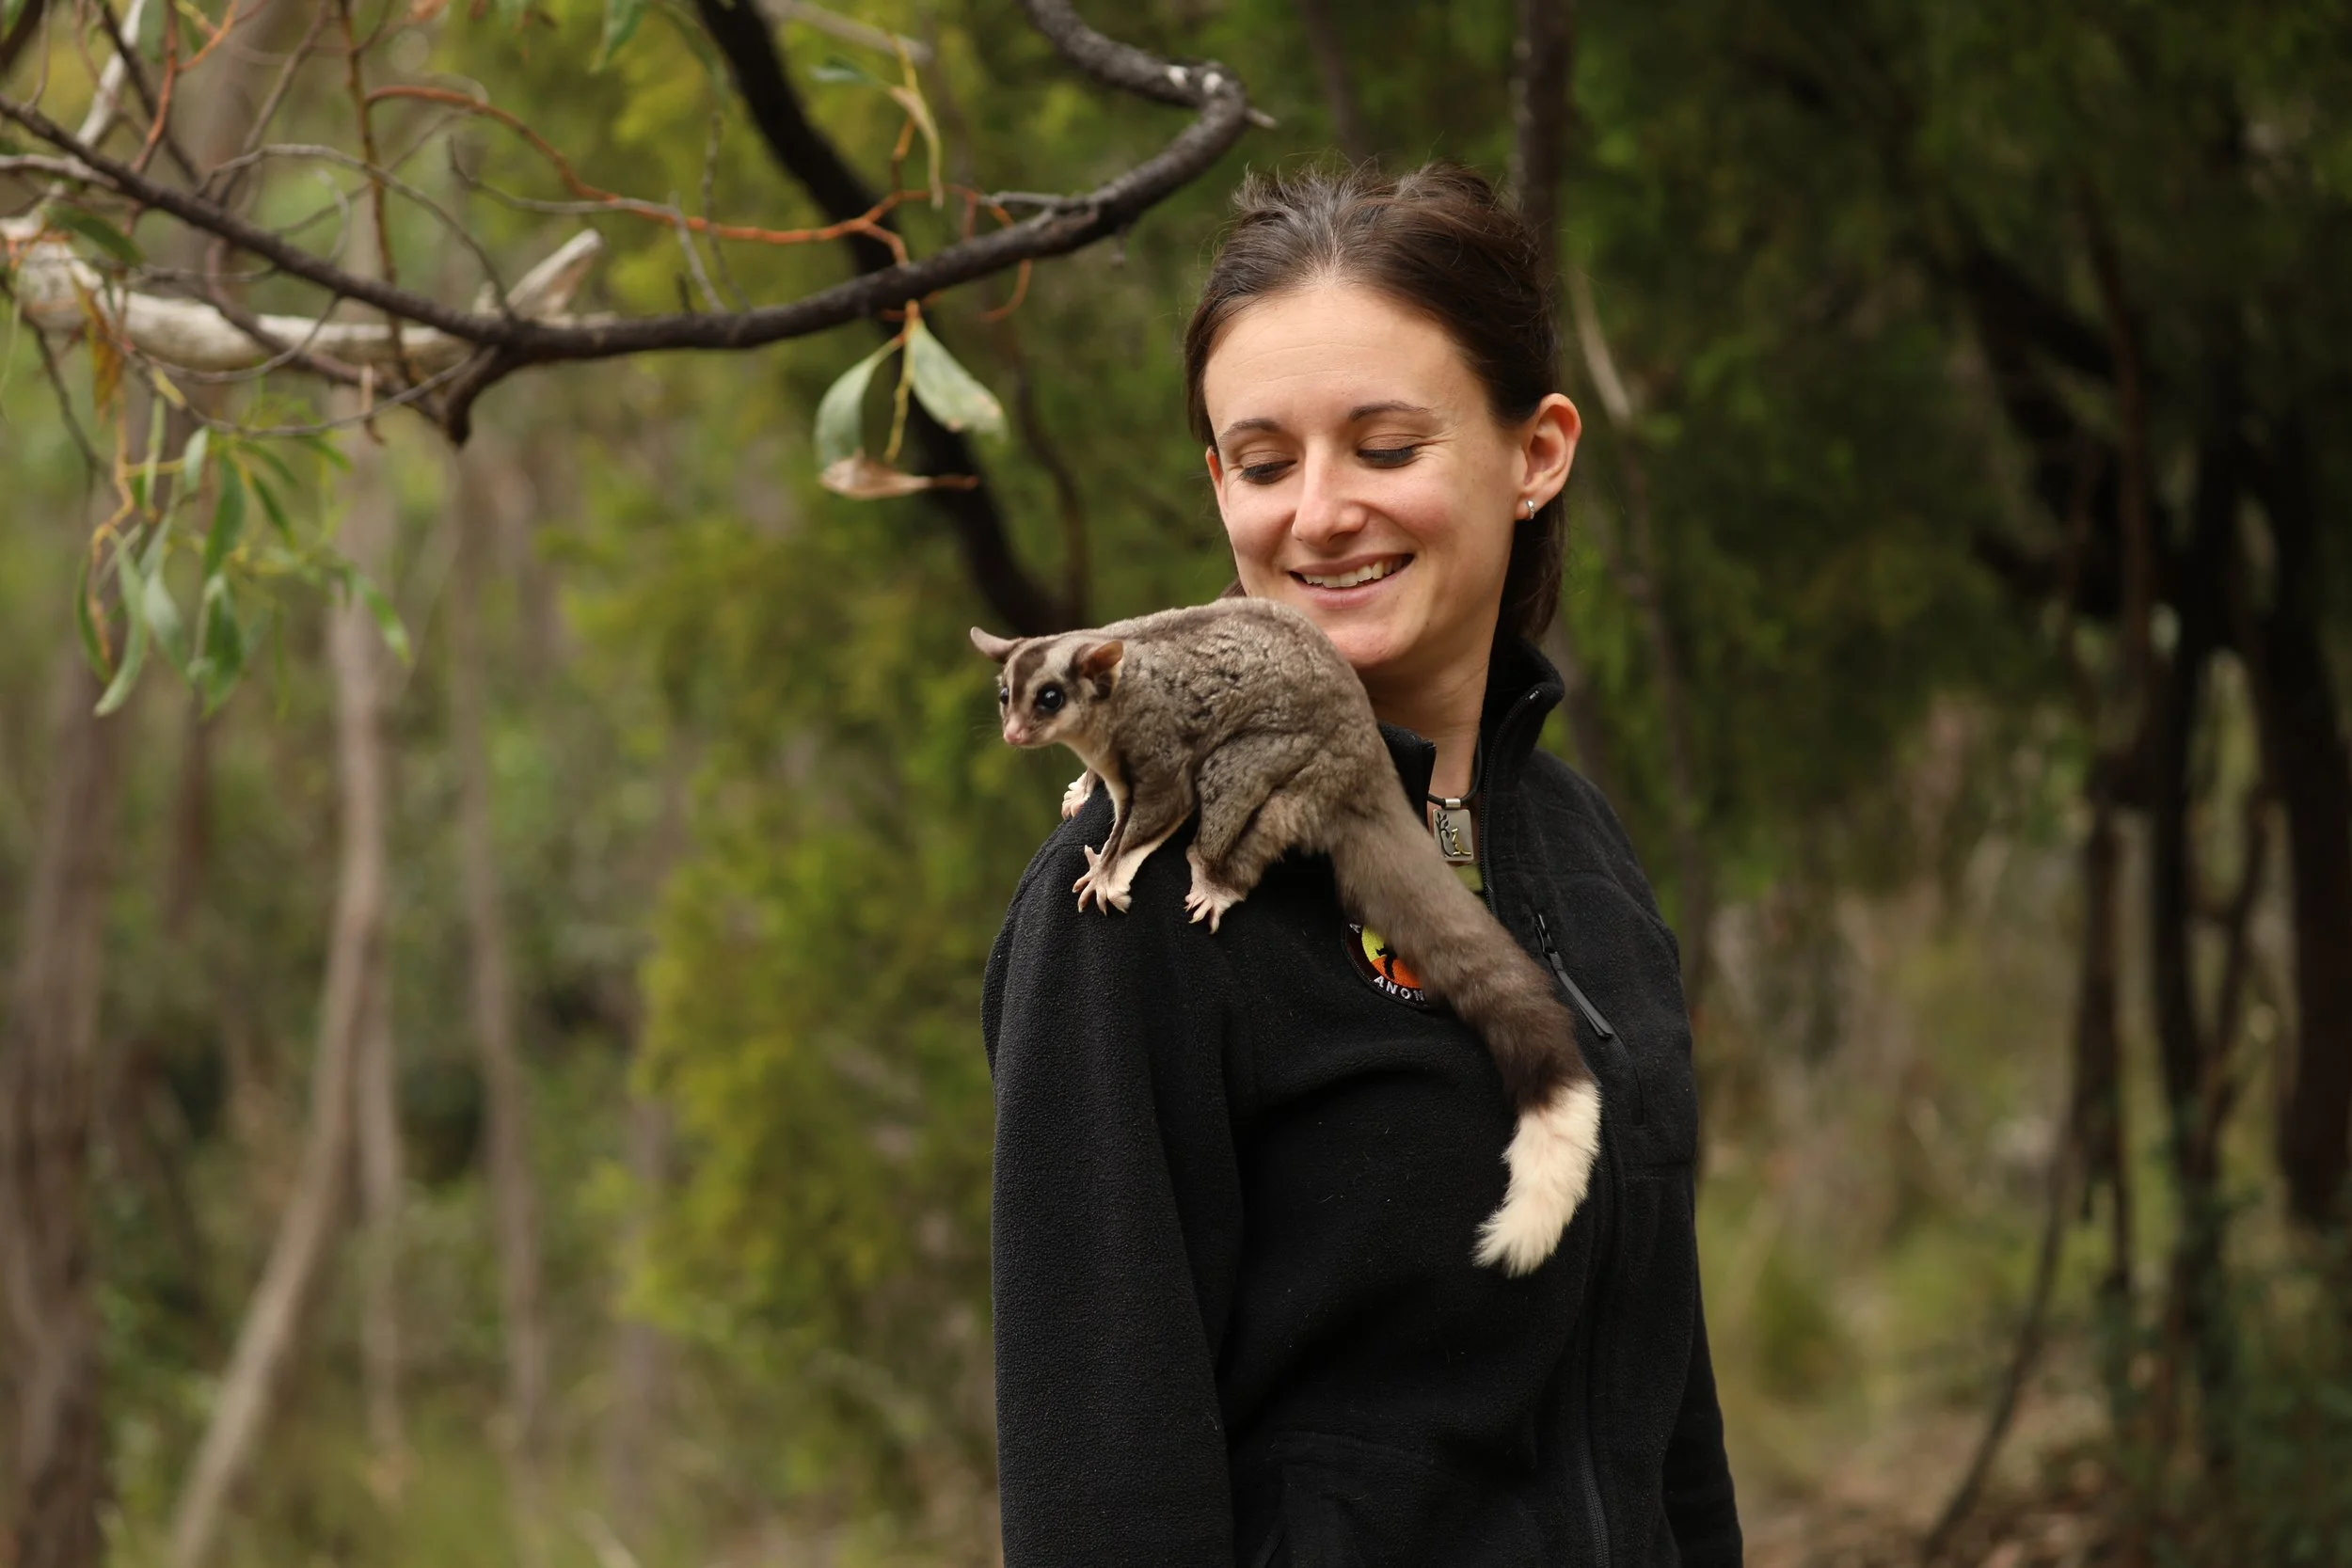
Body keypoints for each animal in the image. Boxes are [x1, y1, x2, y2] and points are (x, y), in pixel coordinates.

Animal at [973, 597, 1600, 1276]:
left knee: (1227, 782)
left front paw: (1108, 872)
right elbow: (1106, 790)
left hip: (1298, 771)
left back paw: (1215, 877)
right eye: (1006, 695)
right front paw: (1081, 791)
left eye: (1050, 698)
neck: (1110, 703)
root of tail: (1367, 758)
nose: (1013, 734)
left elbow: (1163, 808)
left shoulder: (1154, 742)